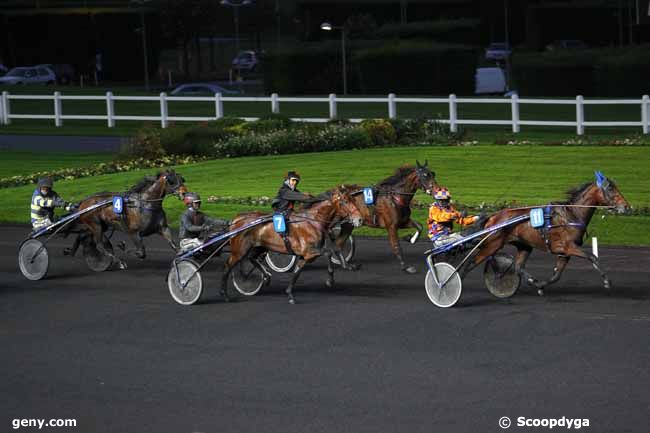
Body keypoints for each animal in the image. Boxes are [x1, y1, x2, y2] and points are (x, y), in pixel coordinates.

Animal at [224, 186, 364, 304]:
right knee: (229, 265)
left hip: (259, 247)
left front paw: (290, 294)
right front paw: (330, 280)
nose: (359, 219)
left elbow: (297, 272)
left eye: (353, 200)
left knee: (252, 258)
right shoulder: (310, 251)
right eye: (345, 201)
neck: (313, 220)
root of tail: (236, 219)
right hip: (239, 251)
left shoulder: (305, 256)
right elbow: (328, 252)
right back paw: (226, 293)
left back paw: (266, 277)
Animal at [466, 170, 628, 296]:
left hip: (524, 245)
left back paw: (530, 280)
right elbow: (592, 257)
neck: (571, 215)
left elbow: (556, 275)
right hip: (492, 245)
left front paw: (540, 286)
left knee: (518, 267)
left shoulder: (564, 252)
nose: (626, 206)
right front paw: (607, 281)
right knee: (471, 263)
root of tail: (493, 217)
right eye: (610, 189)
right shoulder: (568, 246)